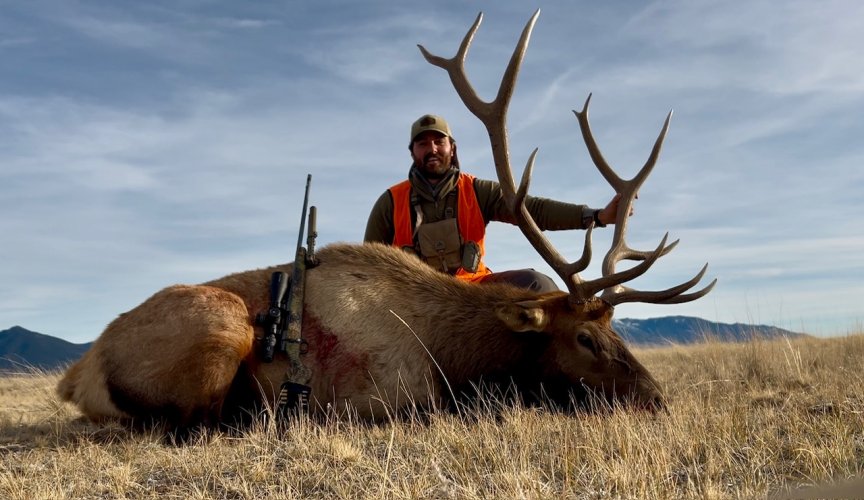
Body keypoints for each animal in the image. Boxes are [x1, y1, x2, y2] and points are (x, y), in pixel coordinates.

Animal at [57, 10, 715, 432]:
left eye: (618, 331)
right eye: (583, 337)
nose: (658, 399)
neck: (460, 357)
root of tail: (78, 373)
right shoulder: (383, 398)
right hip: (221, 325)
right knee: (186, 423)